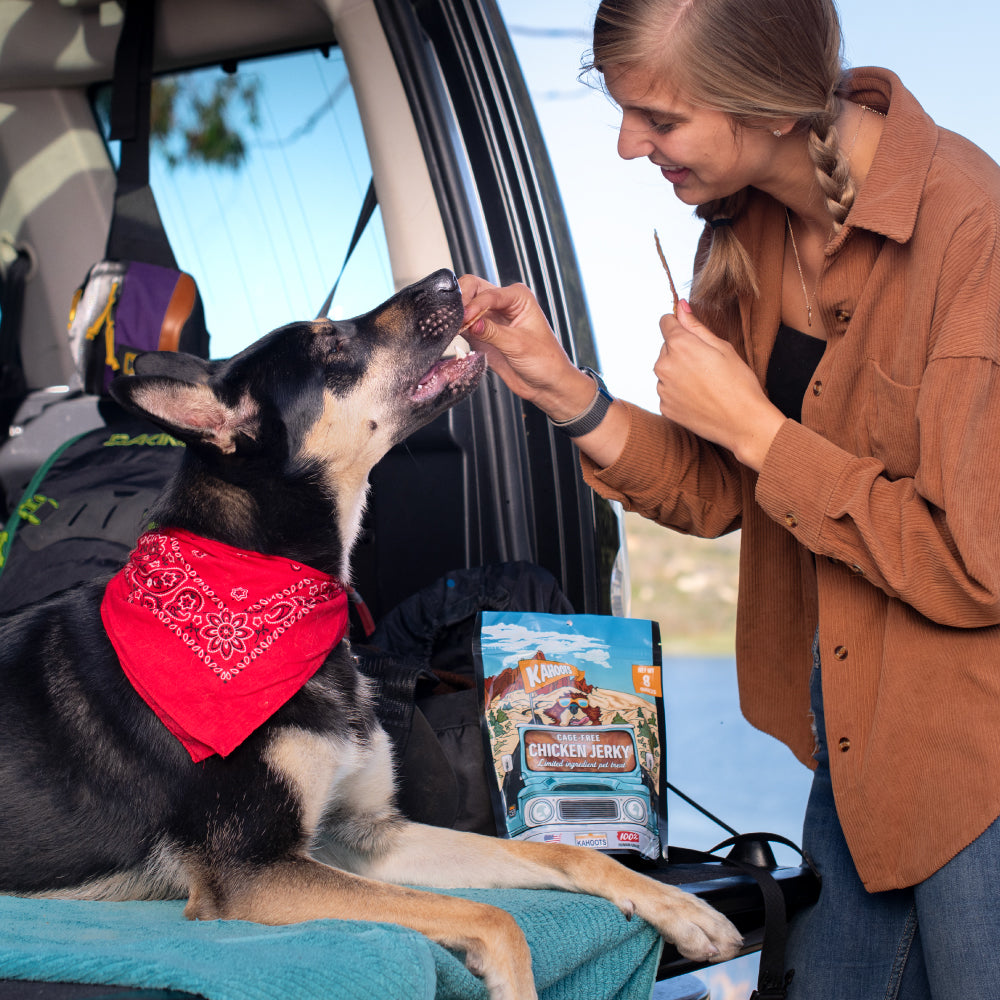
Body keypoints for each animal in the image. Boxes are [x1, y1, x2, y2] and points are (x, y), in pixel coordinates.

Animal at [0, 270, 740, 996]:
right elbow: (492, 916)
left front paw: (684, 910)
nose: (447, 280)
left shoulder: (368, 836)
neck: (265, 588)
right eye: (329, 346)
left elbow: (561, 854)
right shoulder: (252, 873)